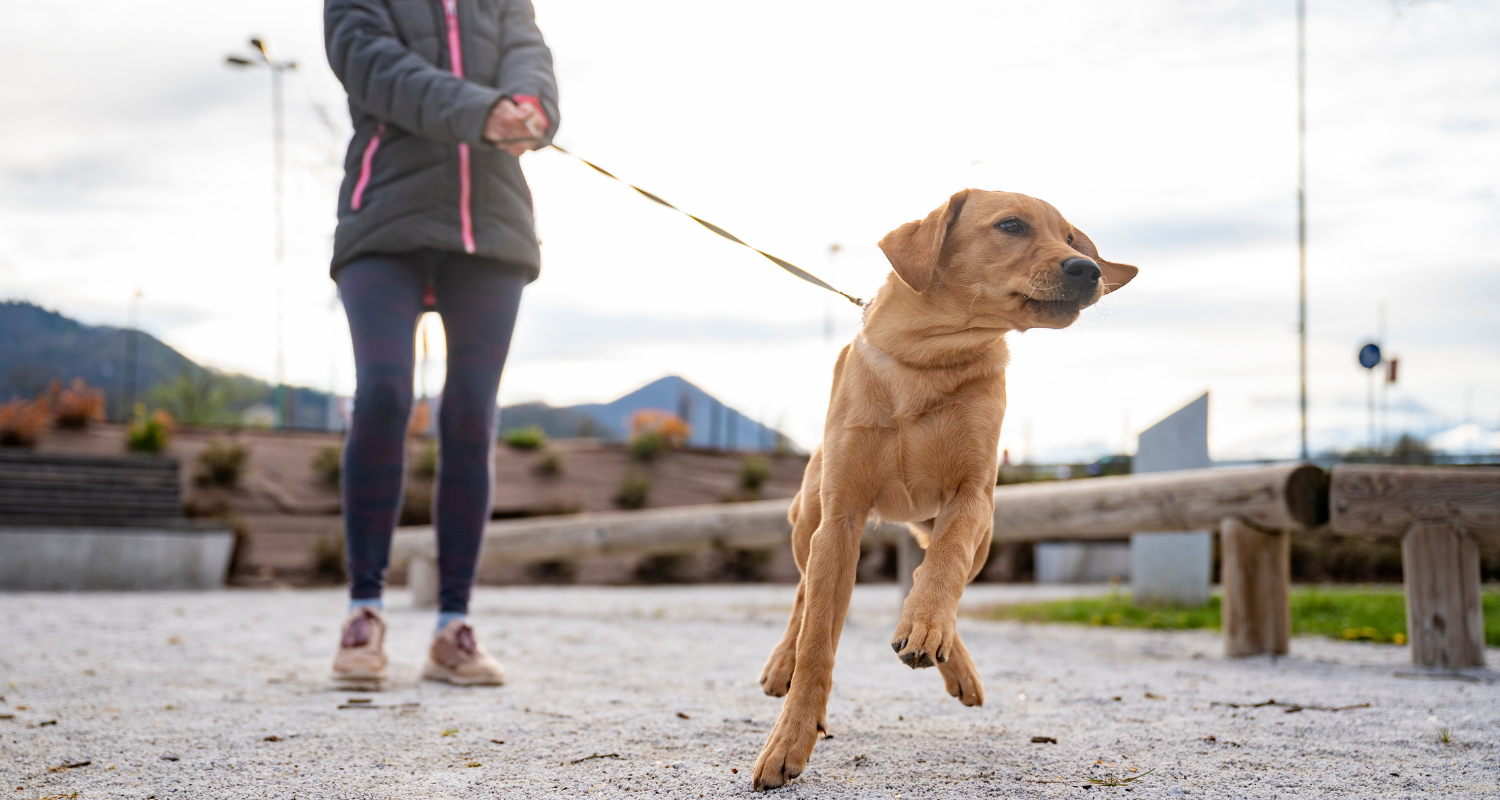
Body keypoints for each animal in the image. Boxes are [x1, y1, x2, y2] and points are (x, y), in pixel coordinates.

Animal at [750, 190, 1134, 786]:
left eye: (1072, 238)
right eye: (1011, 226)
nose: (1088, 270)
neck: (927, 359)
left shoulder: (971, 498)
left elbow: (943, 566)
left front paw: (927, 625)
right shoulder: (840, 519)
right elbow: (818, 644)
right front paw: (789, 738)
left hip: (981, 537)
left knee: (931, 571)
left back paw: (946, 654)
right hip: (807, 524)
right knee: (803, 593)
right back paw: (782, 664)